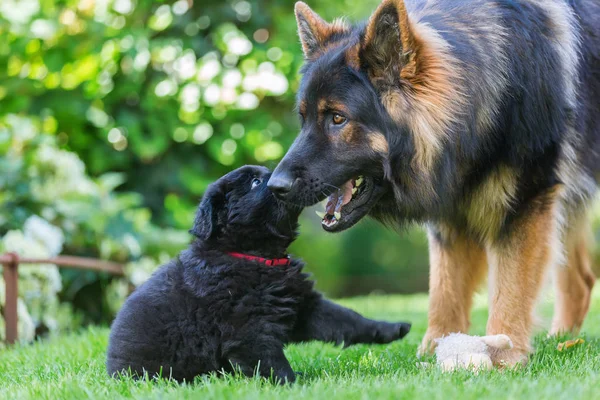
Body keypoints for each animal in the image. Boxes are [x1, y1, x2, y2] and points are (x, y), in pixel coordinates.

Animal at [105, 164, 410, 382]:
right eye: (254, 182)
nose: (282, 178)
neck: (260, 257)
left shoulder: (306, 306)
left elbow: (348, 319)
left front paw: (390, 328)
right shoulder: (249, 330)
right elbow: (274, 364)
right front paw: (298, 383)